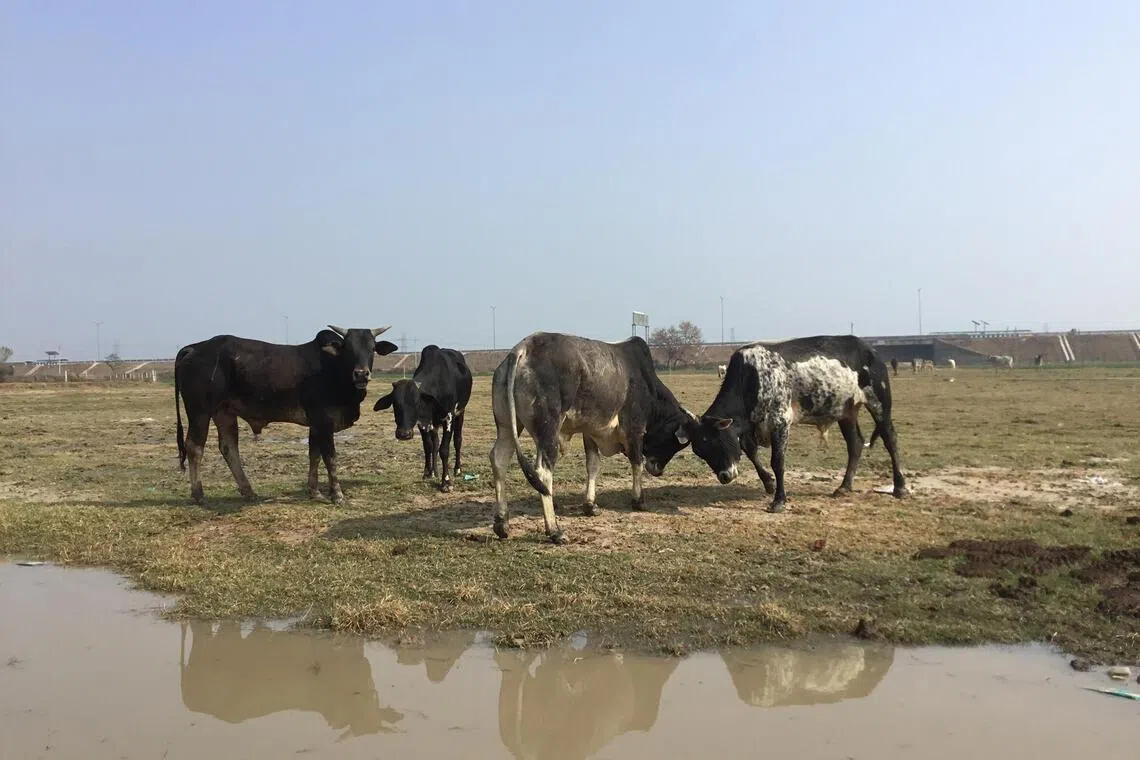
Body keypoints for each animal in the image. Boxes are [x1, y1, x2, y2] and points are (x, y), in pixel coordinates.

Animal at [174, 325, 398, 505]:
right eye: (348, 348)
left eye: (372, 348)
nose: (361, 374)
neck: (333, 370)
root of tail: (193, 348)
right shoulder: (324, 422)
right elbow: (330, 458)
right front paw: (337, 495)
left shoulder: (315, 424)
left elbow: (314, 455)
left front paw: (315, 492)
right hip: (200, 411)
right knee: (195, 447)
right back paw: (199, 494)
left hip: (224, 412)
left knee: (229, 448)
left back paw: (249, 492)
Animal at [372, 345, 473, 492]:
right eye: (395, 403)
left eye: (417, 402)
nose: (403, 434)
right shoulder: (422, 423)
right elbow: (428, 446)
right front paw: (427, 473)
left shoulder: (448, 417)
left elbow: (444, 449)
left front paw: (446, 482)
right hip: (434, 424)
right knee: (435, 443)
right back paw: (435, 471)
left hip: (461, 412)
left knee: (457, 440)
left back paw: (457, 470)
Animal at [489, 332, 693, 544]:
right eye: (674, 443)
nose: (659, 471)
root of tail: (523, 348)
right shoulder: (634, 429)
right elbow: (637, 463)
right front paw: (638, 501)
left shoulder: (591, 432)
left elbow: (593, 466)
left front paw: (590, 505)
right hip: (548, 431)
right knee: (543, 471)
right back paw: (554, 530)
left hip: (507, 425)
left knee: (499, 459)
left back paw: (502, 523)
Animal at [678, 335, 906, 513]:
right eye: (700, 450)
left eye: (714, 441)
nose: (725, 476)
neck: (751, 377)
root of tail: (870, 349)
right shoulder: (751, 426)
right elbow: (751, 451)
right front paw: (769, 483)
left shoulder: (779, 422)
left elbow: (777, 462)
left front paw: (779, 500)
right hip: (846, 412)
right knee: (855, 444)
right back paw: (844, 486)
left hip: (879, 403)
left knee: (890, 439)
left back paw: (900, 487)